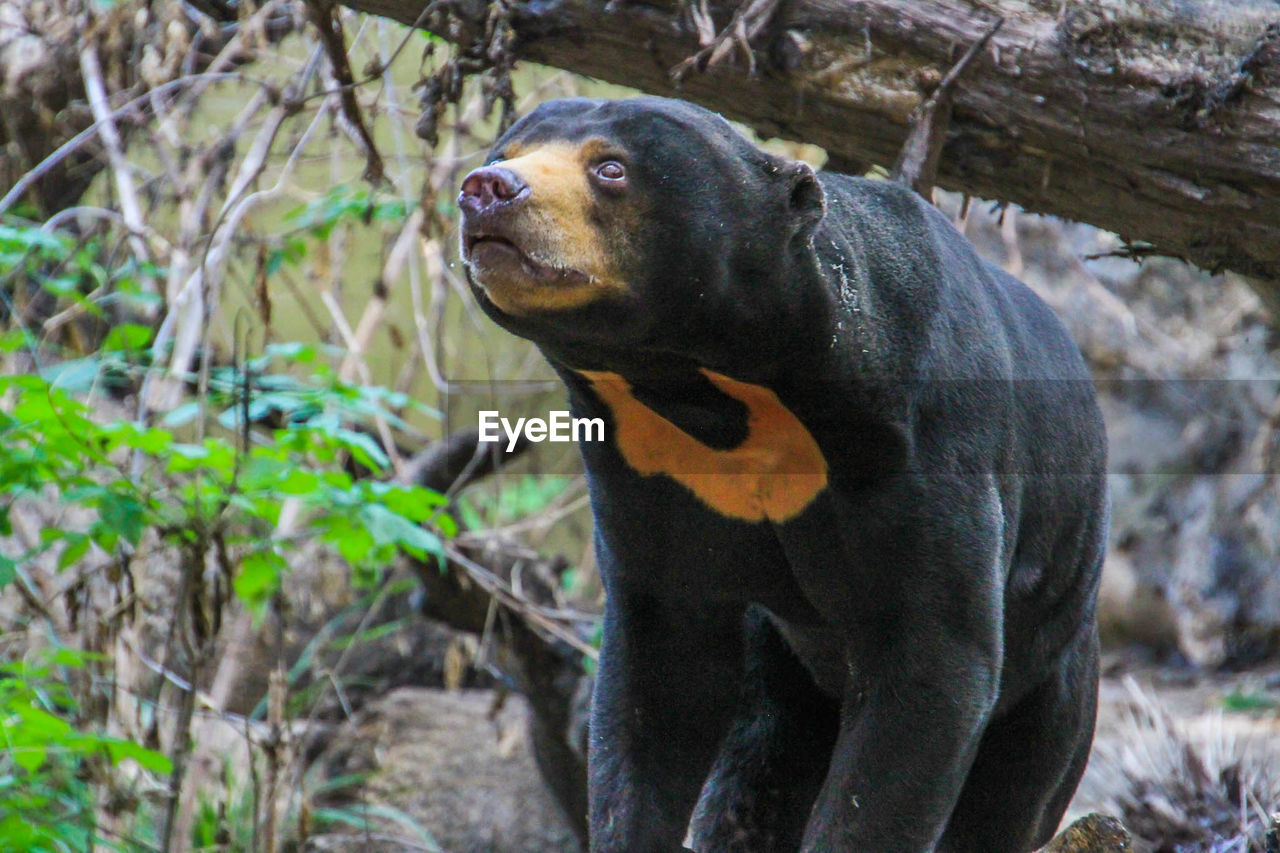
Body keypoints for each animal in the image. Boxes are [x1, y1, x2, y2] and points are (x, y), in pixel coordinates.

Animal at [458, 96, 1111, 845]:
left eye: (611, 169)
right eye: (505, 153)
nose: (486, 189)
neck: (713, 394)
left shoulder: (918, 456)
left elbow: (934, 669)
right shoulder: (648, 477)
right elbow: (659, 676)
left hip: (1055, 667)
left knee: (1010, 798)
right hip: (782, 664)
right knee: (758, 771)